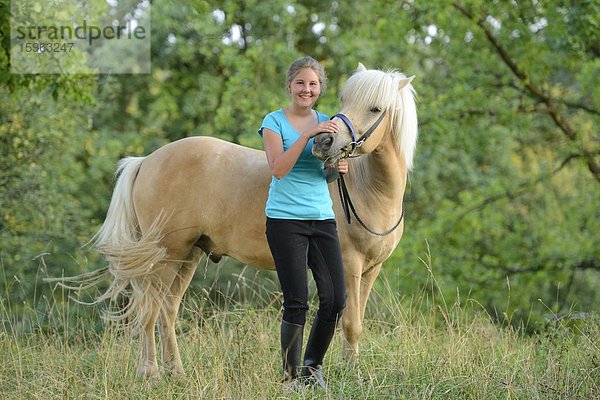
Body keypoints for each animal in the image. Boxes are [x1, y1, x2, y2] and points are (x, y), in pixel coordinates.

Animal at [74, 63, 418, 378]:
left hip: (187, 255)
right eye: (345, 100)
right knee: (150, 310)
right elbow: (349, 322)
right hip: (165, 256)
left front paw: (351, 371)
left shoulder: (371, 269)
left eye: (375, 108)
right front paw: (349, 375)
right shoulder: (349, 265)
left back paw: (177, 373)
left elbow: (355, 324)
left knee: (167, 311)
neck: (369, 190)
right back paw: (151, 374)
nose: (323, 144)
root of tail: (145, 161)